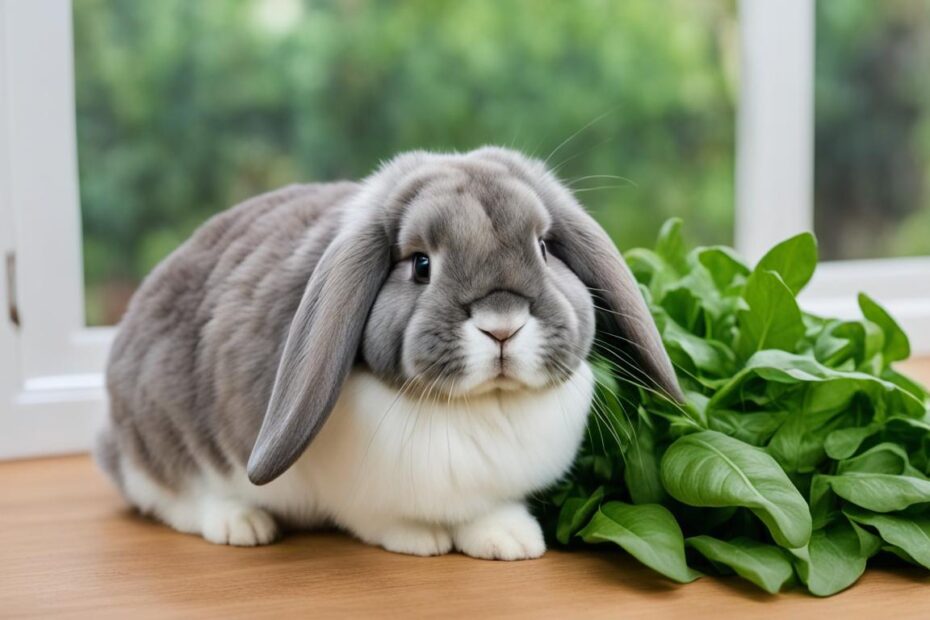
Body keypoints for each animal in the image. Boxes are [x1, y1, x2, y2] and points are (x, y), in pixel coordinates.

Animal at [96, 146, 680, 560]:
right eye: (421, 264)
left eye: (542, 247)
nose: (502, 324)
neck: (481, 406)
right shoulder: (363, 497)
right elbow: (387, 521)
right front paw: (421, 541)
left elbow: (489, 515)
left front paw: (511, 542)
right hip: (166, 435)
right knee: (173, 495)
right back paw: (242, 525)